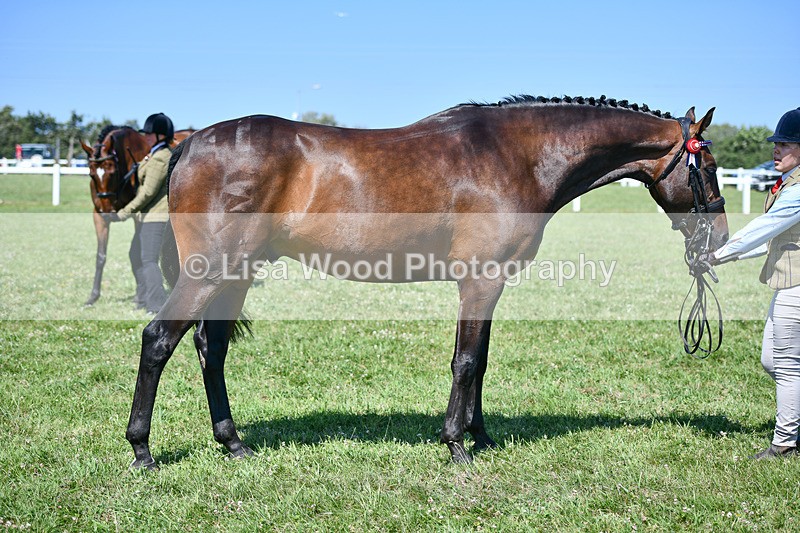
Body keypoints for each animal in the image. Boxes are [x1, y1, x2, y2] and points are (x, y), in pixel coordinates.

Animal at [80, 128, 195, 306]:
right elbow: (101, 256)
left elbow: (135, 254)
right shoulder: (98, 216)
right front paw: (93, 296)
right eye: (92, 174)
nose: (107, 212)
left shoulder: (138, 216)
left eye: (112, 172)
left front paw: (140, 296)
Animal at [124, 95, 728, 469]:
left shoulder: (489, 284)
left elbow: (481, 360)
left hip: (236, 274)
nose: (719, 237)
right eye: (709, 167)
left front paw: (482, 437)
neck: (516, 155)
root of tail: (192, 144)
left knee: (211, 348)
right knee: (159, 340)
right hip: (211, 272)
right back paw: (142, 451)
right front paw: (457, 445)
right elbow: (466, 360)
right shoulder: (480, 280)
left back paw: (234, 444)